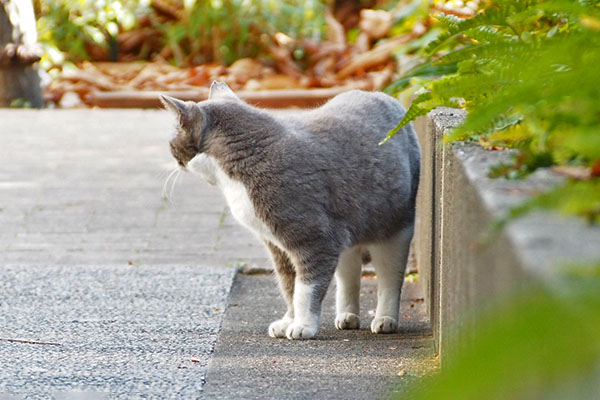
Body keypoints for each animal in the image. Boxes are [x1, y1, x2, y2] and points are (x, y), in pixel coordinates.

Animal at [161, 82, 422, 340]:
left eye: (173, 143)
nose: (174, 158)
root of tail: (384, 96)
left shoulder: (315, 240)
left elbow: (305, 289)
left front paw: (302, 325)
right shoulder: (276, 245)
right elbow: (289, 285)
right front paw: (288, 320)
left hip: (394, 232)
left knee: (389, 279)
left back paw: (385, 320)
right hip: (350, 233)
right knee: (349, 272)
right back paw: (347, 317)